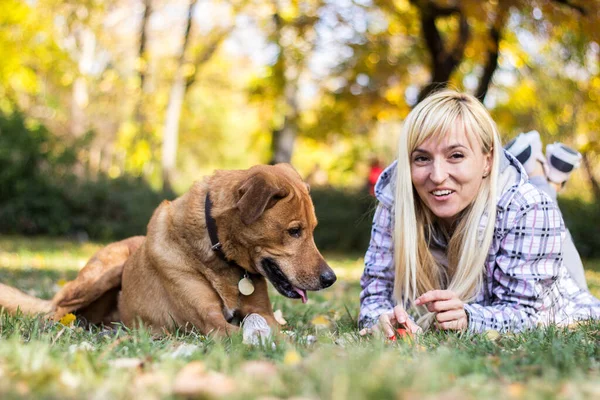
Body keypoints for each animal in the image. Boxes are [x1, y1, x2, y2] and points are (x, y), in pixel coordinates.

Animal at [0, 162, 338, 334]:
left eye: (313, 230)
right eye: (294, 231)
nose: (331, 278)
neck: (220, 257)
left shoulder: (262, 313)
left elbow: (281, 334)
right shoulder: (210, 321)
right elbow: (238, 333)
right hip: (101, 274)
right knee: (53, 312)